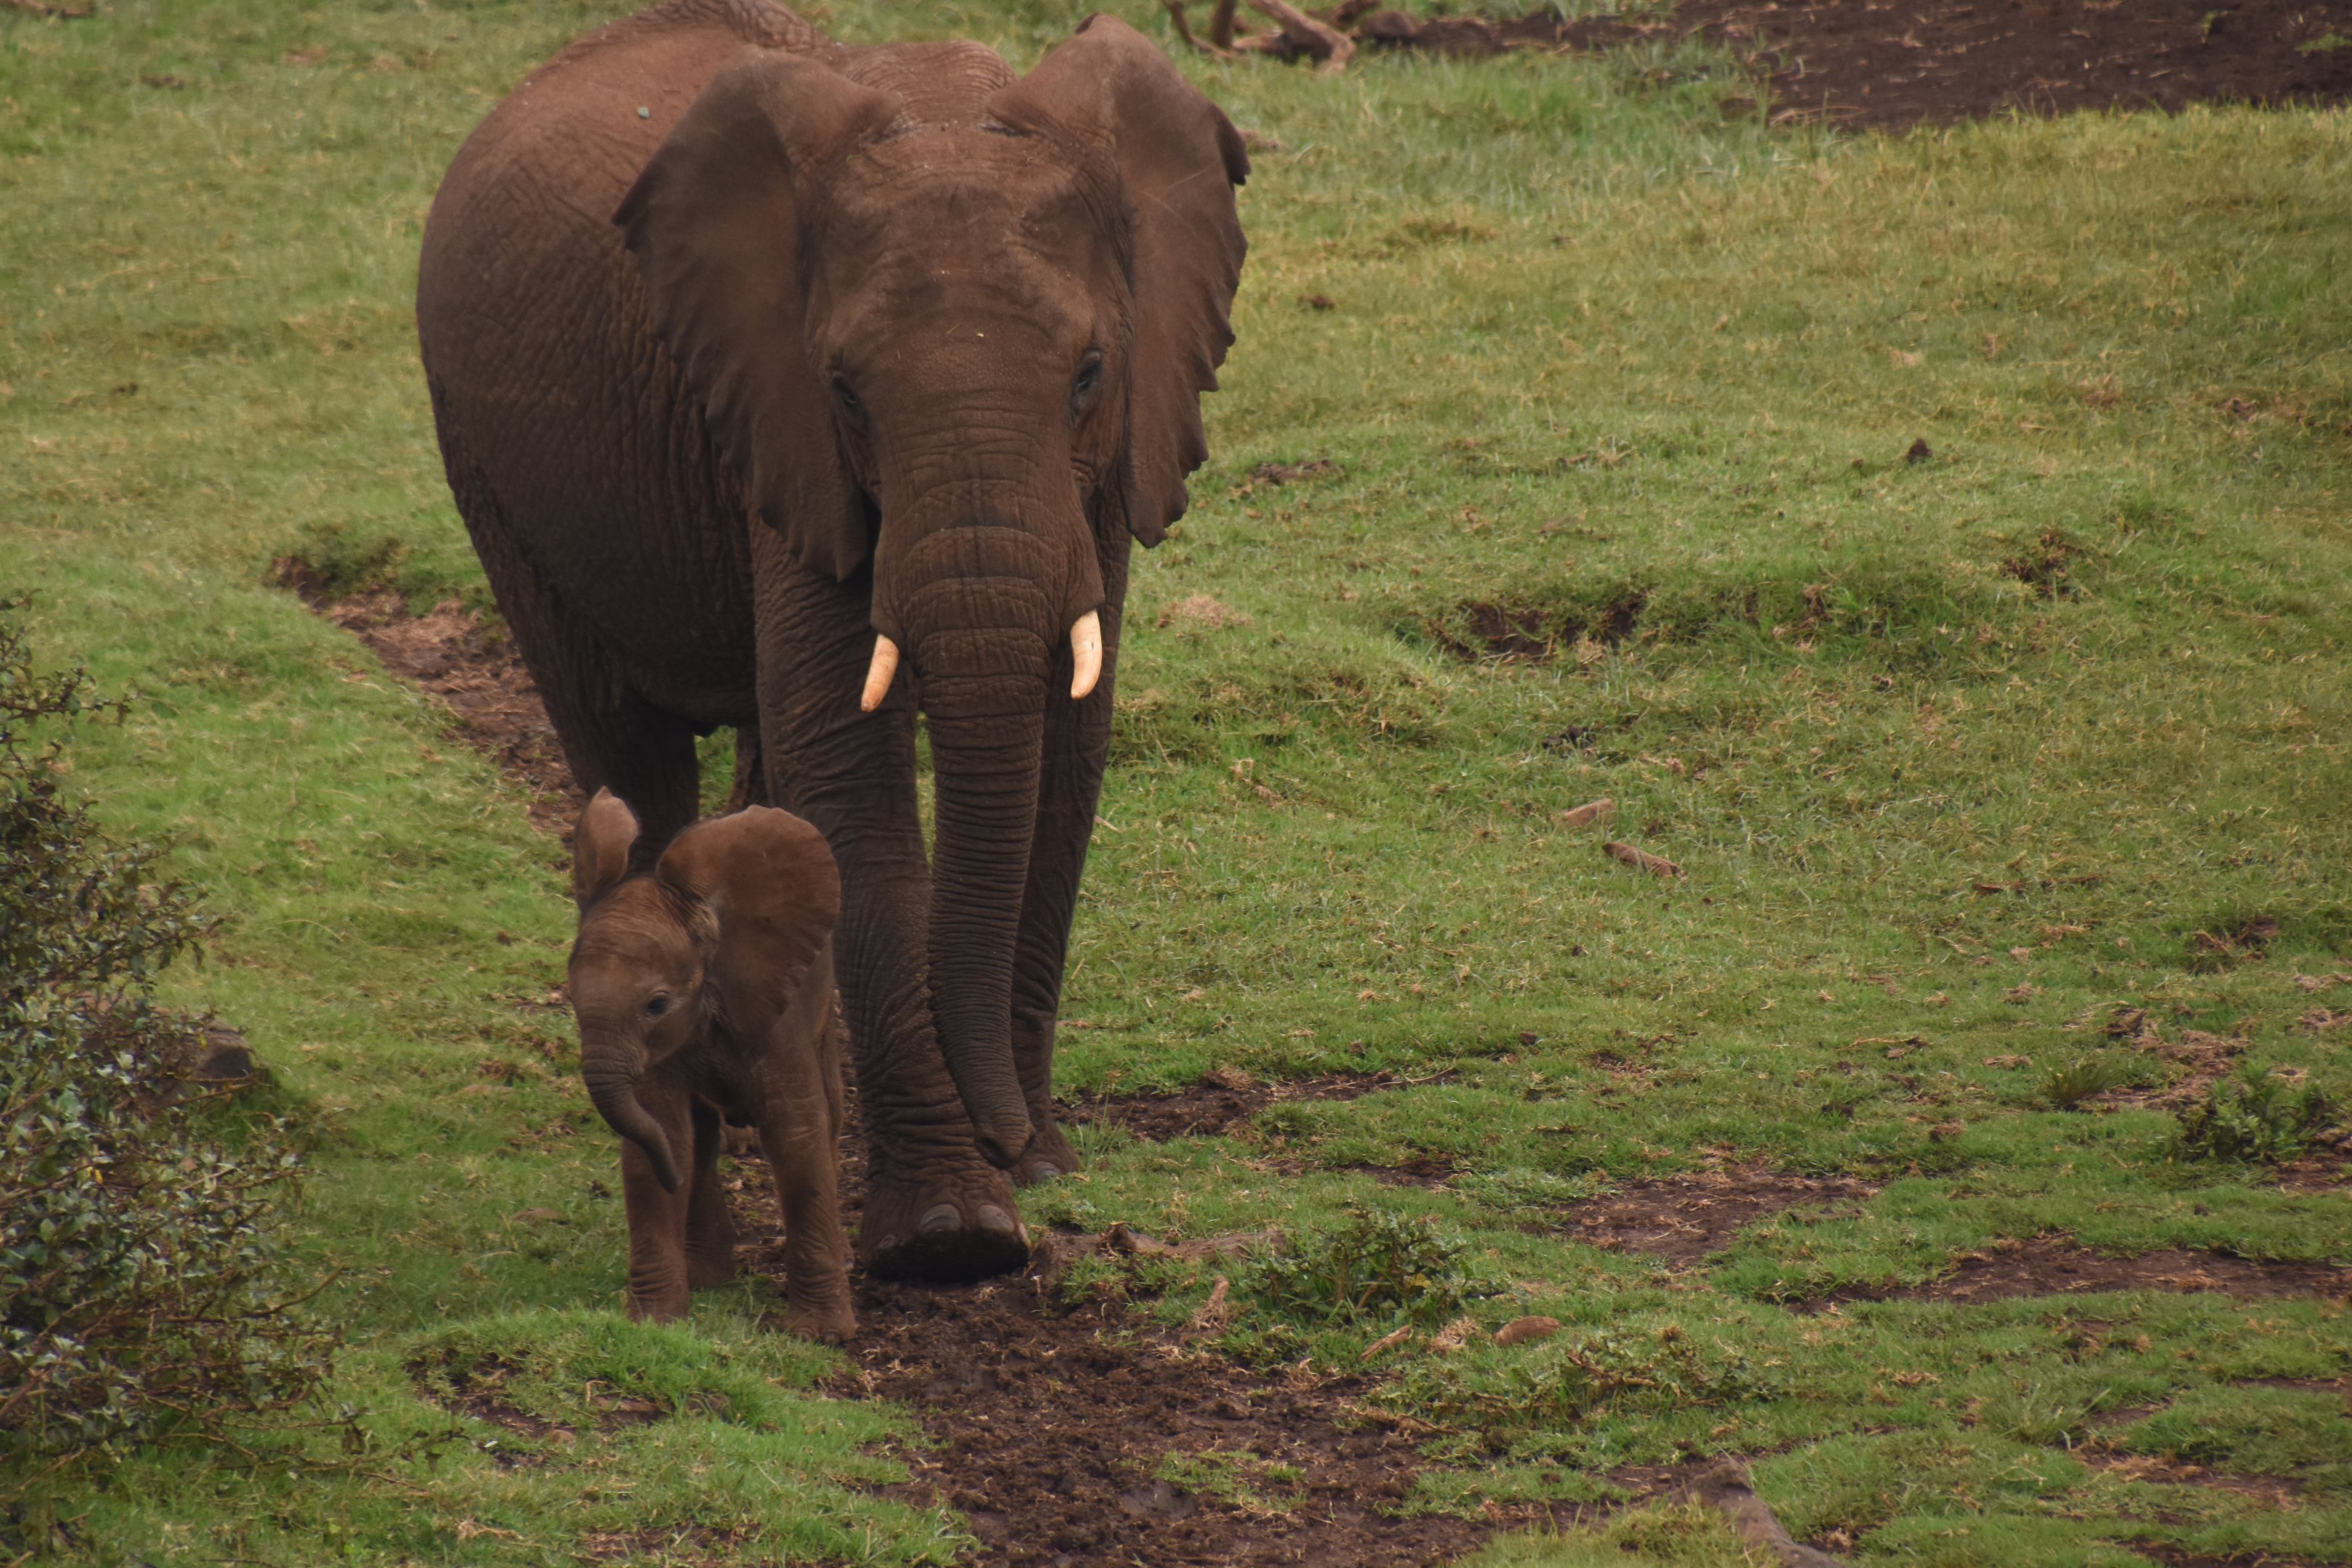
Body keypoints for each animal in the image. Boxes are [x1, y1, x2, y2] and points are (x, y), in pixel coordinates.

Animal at [416, 0, 1248, 1281]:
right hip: (493, 478)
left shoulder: (1109, 467)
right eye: (847, 391)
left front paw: (1029, 1175)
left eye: (1089, 375)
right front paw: (954, 1236)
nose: (1013, 1136)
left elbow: (1065, 752)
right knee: (628, 760)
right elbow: (849, 776)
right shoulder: (774, 422)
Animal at [568, 789, 854, 1340]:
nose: (672, 1179)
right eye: (571, 998)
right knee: (697, 1141)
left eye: (657, 1004)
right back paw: (707, 1278)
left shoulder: (775, 1020)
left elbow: (797, 1136)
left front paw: (820, 1335)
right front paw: (655, 1323)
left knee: (829, 1115)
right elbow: (661, 1136)